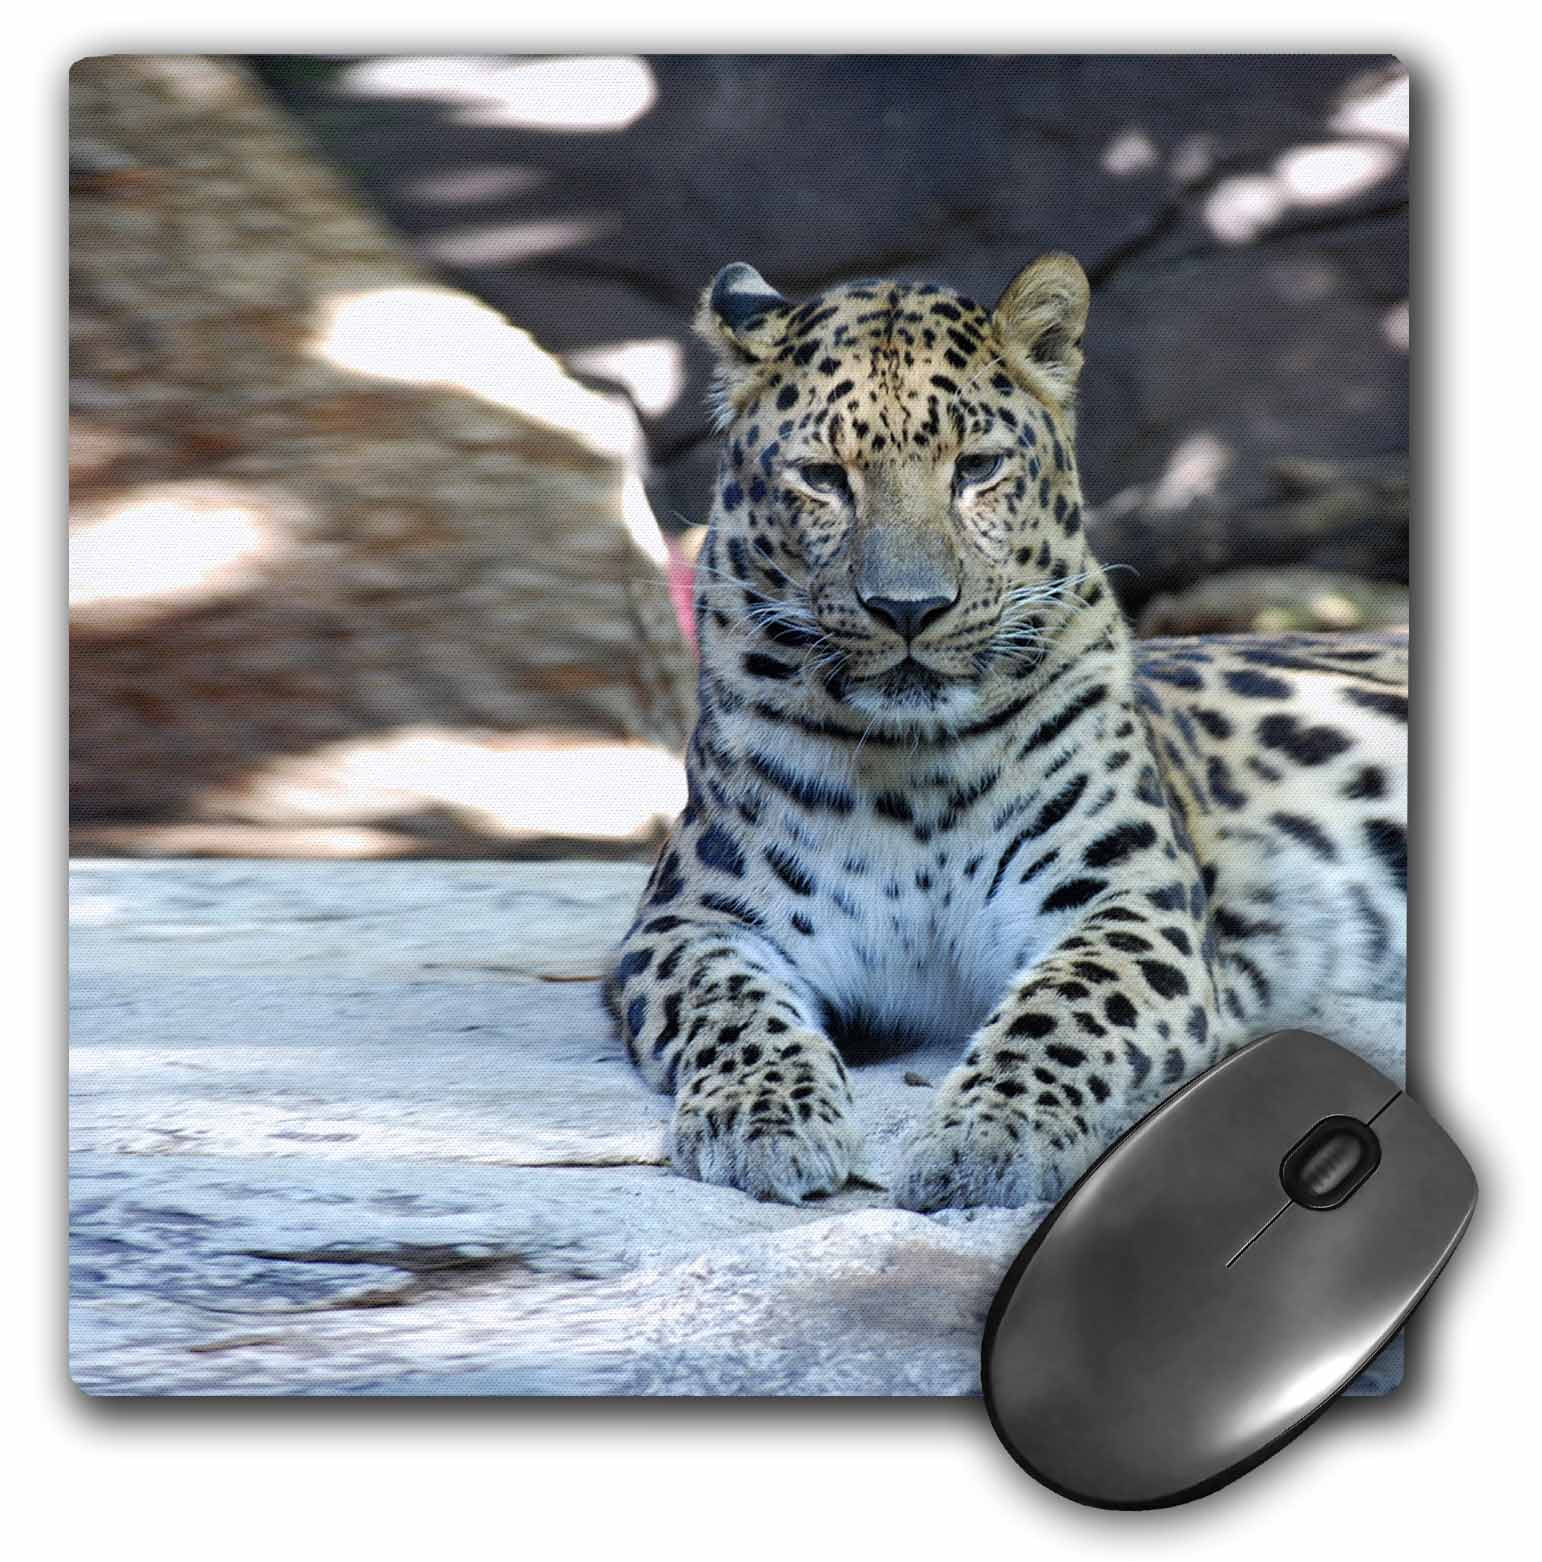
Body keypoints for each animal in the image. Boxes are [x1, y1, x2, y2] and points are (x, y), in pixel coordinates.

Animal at [607, 252, 1407, 1212]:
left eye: (977, 468)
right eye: (824, 478)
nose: (908, 609)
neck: (909, 772)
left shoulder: (1128, 903)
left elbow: (1066, 1008)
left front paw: (990, 1137)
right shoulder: (693, 919)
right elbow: (730, 1006)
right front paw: (765, 1118)